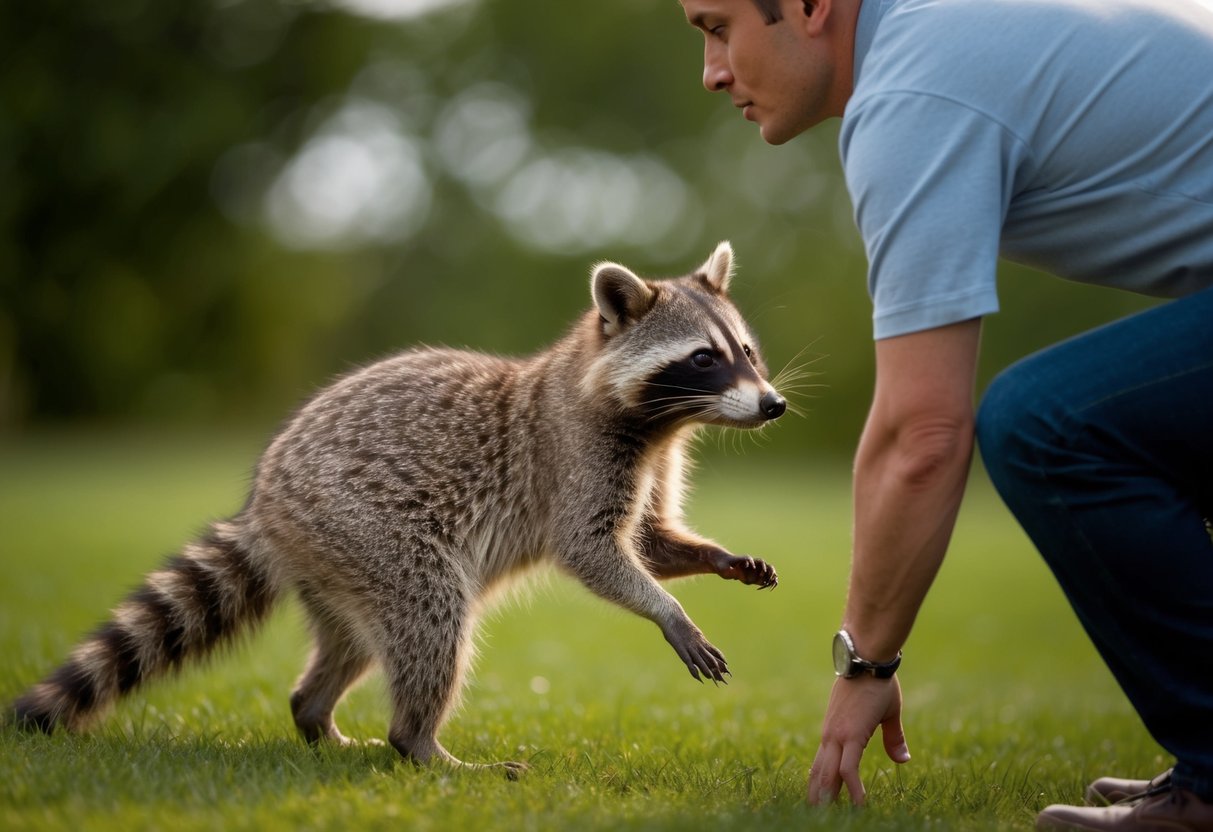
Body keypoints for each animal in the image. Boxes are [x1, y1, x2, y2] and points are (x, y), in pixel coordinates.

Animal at [12, 241, 786, 777]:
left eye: (747, 352)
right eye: (703, 359)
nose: (773, 403)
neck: (660, 424)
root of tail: (263, 507)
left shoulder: (654, 460)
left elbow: (648, 539)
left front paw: (715, 558)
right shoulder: (575, 455)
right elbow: (590, 549)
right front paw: (666, 609)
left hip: (333, 563)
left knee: (358, 639)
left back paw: (315, 712)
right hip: (365, 527)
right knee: (431, 615)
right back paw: (420, 744)